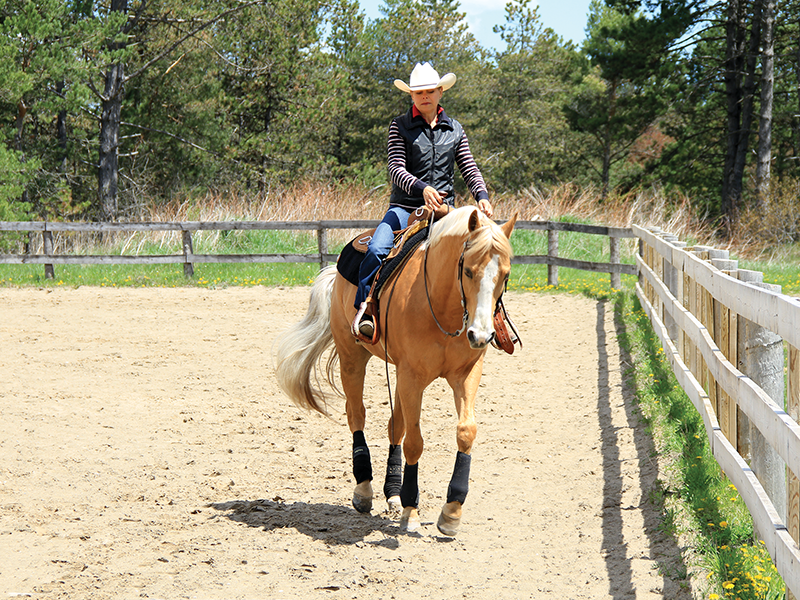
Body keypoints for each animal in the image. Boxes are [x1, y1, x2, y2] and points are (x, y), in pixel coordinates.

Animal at [274, 206, 516, 536]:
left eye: (505, 275)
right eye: (467, 270)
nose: (480, 335)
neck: (442, 308)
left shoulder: (464, 374)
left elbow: (465, 432)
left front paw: (451, 511)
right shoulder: (412, 377)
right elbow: (414, 442)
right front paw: (411, 509)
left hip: (398, 376)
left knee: (394, 426)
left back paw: (392, 491)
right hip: (353, 357)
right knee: (357, 415)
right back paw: (364, 489)